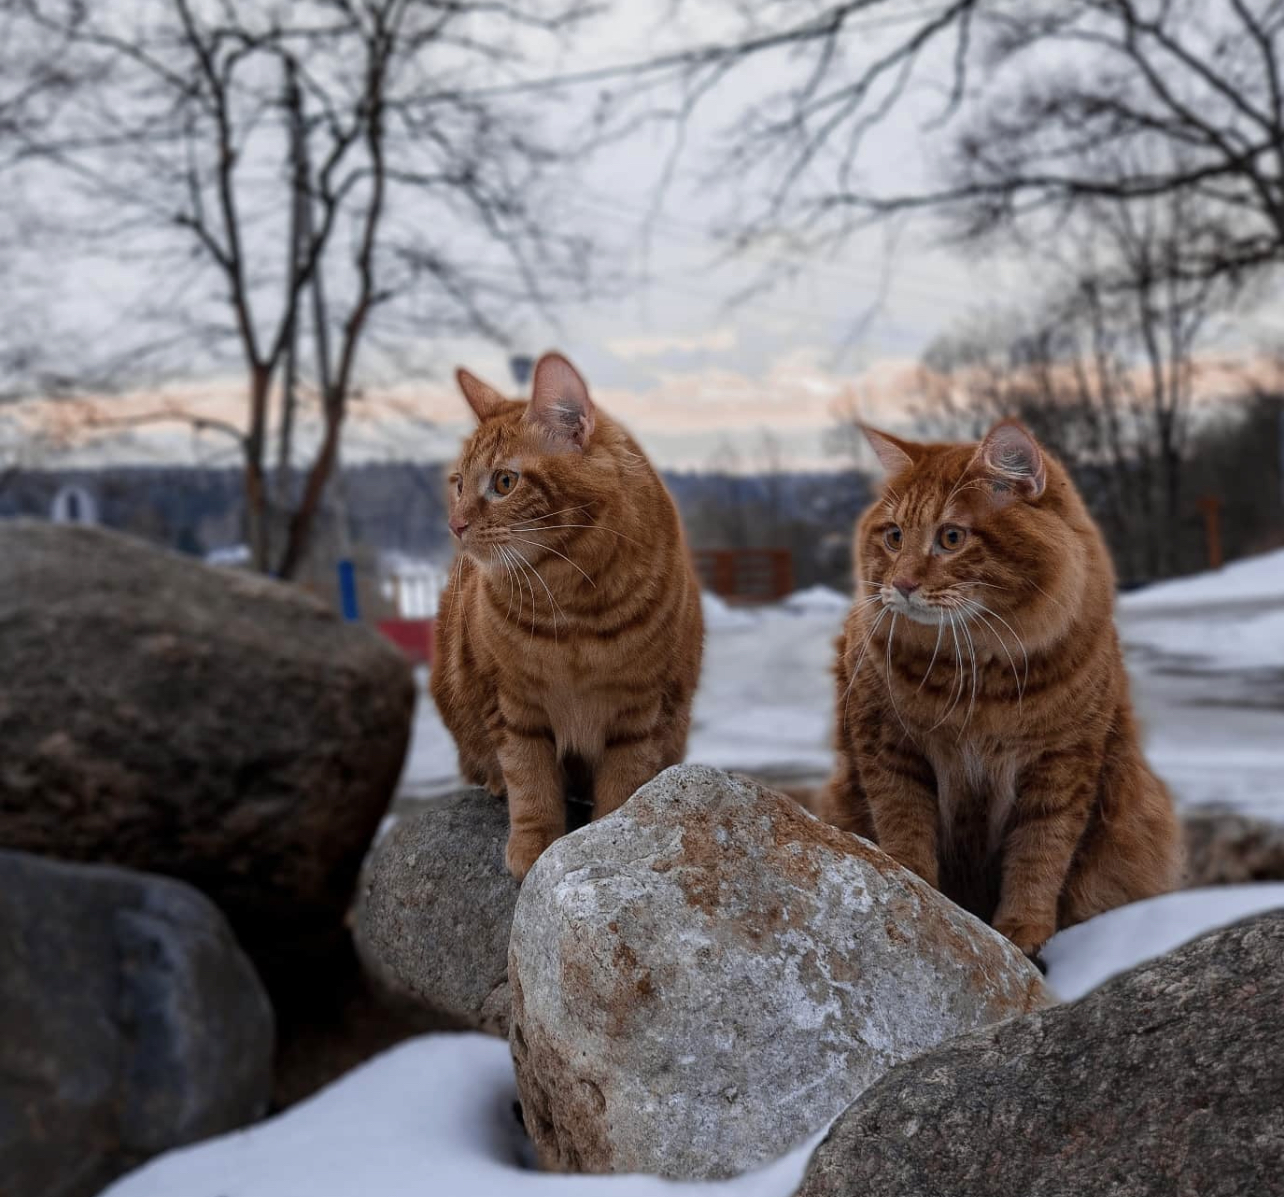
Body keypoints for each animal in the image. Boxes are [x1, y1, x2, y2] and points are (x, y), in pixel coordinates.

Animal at [428, 351, 703, 873]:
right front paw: (534, 844)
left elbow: (622, 787)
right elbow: (529, 780)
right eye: (458, 484)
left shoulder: (640, 712)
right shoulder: (512, 706)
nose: (455, 525)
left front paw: (604, 835)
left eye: (505, 482)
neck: (574, 612)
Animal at [821, 416, 1181, 960]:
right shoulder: (888, 747)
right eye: (894, 537)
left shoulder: (1061, 765)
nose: (901, 584)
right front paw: (917, 896)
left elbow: (1038, 857)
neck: (977, 676)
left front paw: (1022, 930)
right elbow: (905, 831)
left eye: (951, 537)